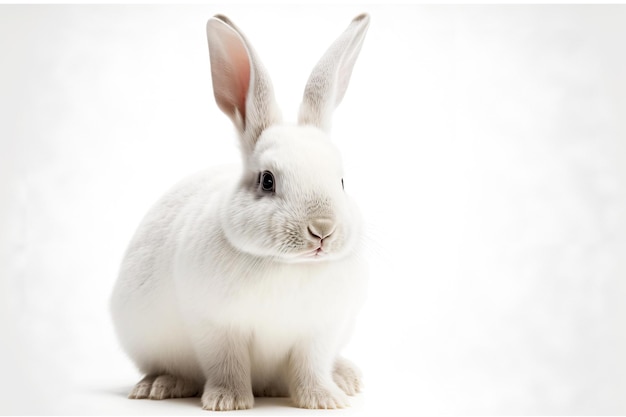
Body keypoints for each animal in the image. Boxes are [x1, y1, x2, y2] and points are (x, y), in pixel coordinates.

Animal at [109, 13, 368, 410]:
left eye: (340, 181)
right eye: (267, 180)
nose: (322, 229)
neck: (287, 267)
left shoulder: (319, 332)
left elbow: (311, 368)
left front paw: (326, 399)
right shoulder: (216, 325)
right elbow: (226, 364)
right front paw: (228, 401)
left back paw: (346, 377)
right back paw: (159, 385)